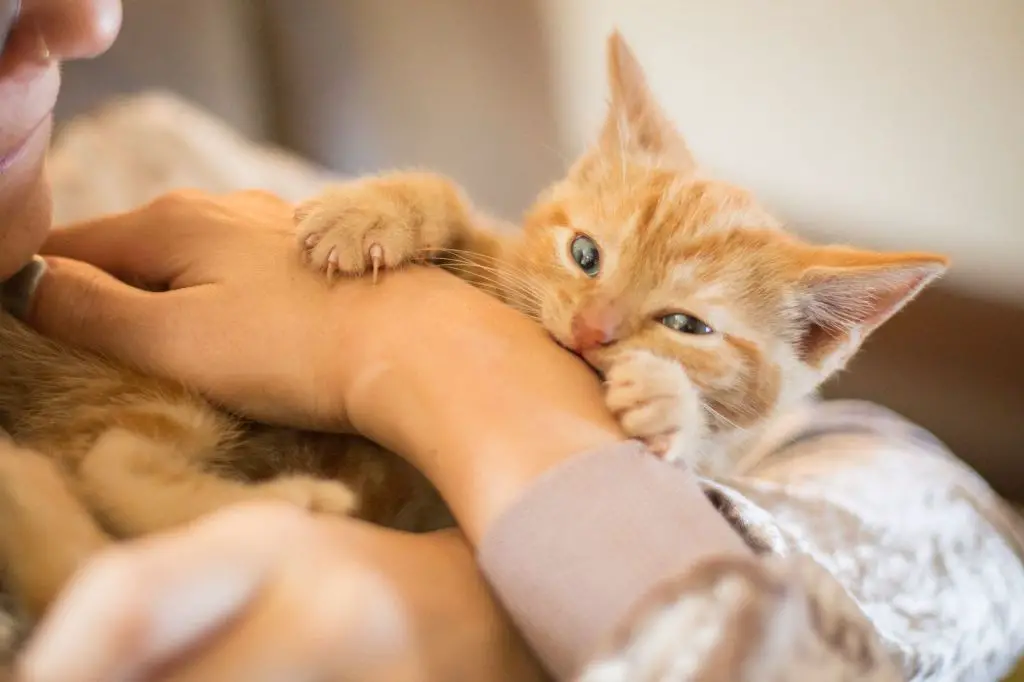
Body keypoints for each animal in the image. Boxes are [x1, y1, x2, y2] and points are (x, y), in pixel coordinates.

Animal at [296, 31, 950, 473]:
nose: (591, 331)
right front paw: (371, 212)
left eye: (686, 325)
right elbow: (447, 196)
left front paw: (670, 404)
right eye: (585, 255)